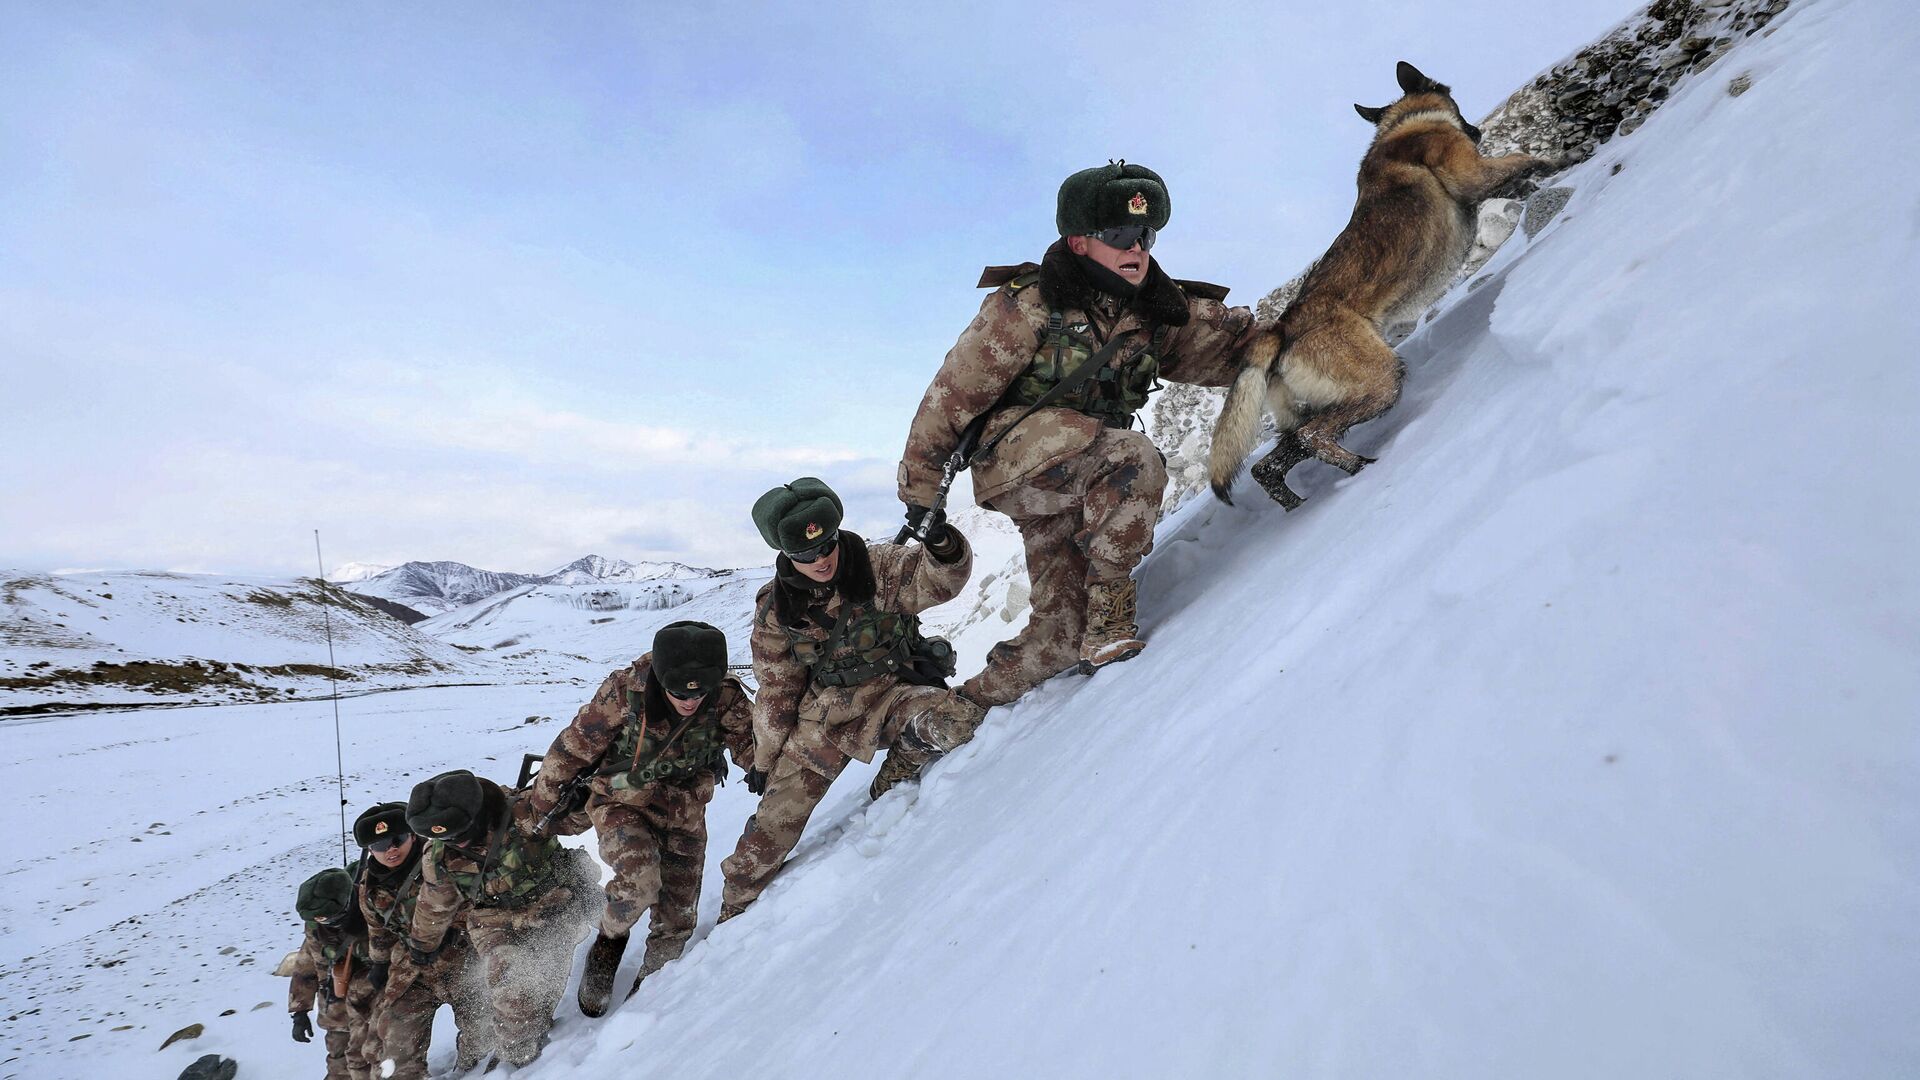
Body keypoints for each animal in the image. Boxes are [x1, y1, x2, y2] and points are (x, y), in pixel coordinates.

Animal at [1213, 61, 1559, 507]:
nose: (1476, 132)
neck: (1401, 125)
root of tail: (1280, 329)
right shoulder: (1471, 174)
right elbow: (1522, 157)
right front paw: (1557, 159)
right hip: (1380, 380)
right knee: (1313, 437)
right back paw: (1363, 471)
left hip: (1318, 406)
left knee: (1270, 464)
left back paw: (1304, 495)